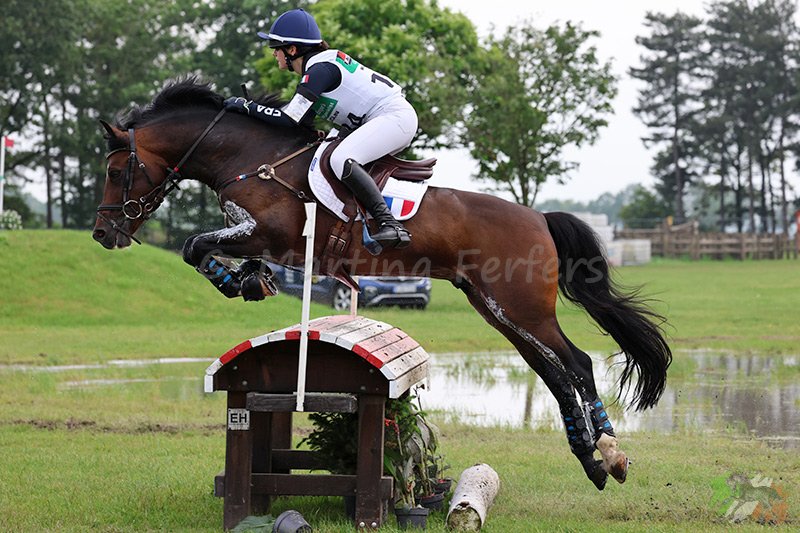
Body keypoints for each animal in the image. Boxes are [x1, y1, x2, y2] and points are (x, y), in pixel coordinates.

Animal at [92, 79, 668, 490]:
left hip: (523, 309)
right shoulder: (268, 242)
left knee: (578, 365)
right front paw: (251, 280)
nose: (103, 233)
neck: (250, 159)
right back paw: (591, 462)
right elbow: (214, 251)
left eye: (118, 171)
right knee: (553, 374)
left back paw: (611, 456)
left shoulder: (271, 233)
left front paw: (239, 283)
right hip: (496, 309)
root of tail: (539, 218)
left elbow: (194, 246)